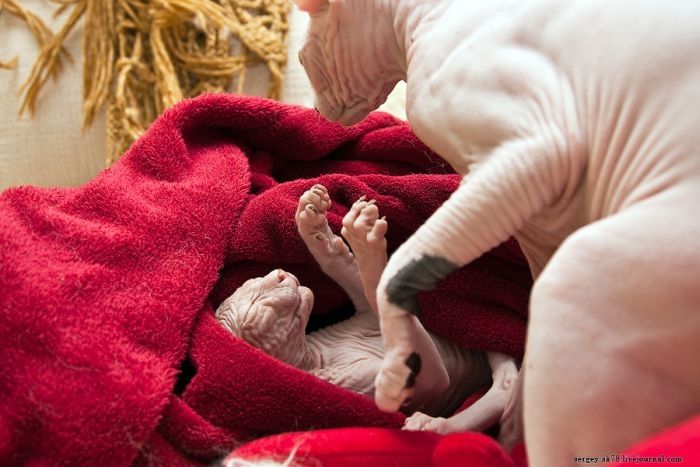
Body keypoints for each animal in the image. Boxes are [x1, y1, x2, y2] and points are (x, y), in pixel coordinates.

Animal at [216, 186, 516, 438]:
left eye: (257, 279)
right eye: (255, 305)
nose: (281, 274)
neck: (316, 355)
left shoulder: (367, 312)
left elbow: (347, 272)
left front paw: (315, 226)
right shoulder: (402, 386)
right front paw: (365, 244)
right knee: (501, 388)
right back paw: (435, 424)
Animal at [292, 0, 700, 464]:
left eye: (302, 61)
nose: (316, 113)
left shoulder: (536, 151)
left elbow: (403, 267)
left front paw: (398, 363)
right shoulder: (539, 216)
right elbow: (523, 337)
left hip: (582, 271)